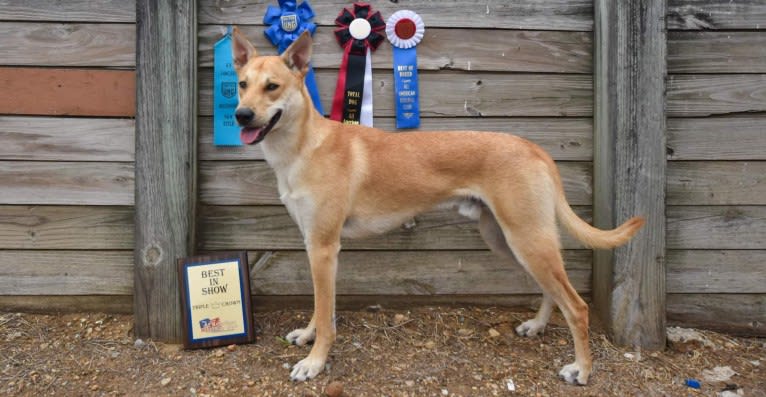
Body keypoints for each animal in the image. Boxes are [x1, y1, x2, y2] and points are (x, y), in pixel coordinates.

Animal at [231, 27, 644, 384]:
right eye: (242, 85)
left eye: (272, 87)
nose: (241, 115)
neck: (303, 146)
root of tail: (534, 148)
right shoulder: (313, 245)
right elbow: (321, 309)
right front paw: (307, 334)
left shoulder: (324, 248)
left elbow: (326, 313)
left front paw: (314, 362)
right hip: (509, 241)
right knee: (550, 290)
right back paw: (537, 326)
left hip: (528, 240)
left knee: (576, 306)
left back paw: (581, 369)